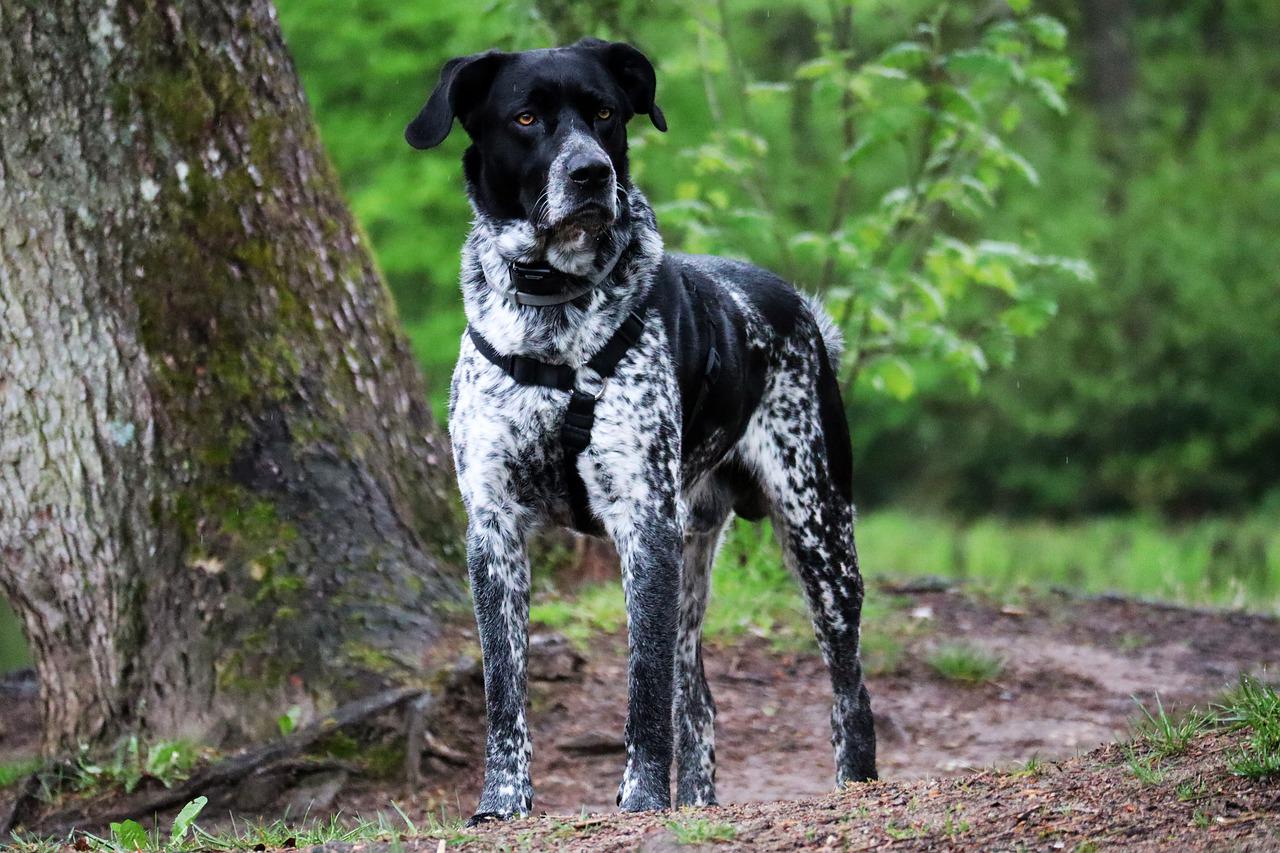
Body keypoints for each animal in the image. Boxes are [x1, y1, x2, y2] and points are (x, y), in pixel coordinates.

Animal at [404, 36, 875, 819]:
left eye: (604, 113)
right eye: (526, 117)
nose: (591, 172)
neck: (554, 318)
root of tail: (801, 309)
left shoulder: (643, 523)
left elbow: (643, 691)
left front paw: (643, 796)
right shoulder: (494, 529)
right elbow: (505, 690)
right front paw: (503, 801)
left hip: (818, 534)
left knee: (849, 692)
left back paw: (854, 785)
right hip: (694, 555)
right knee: (701, 702)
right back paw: (700, 803)